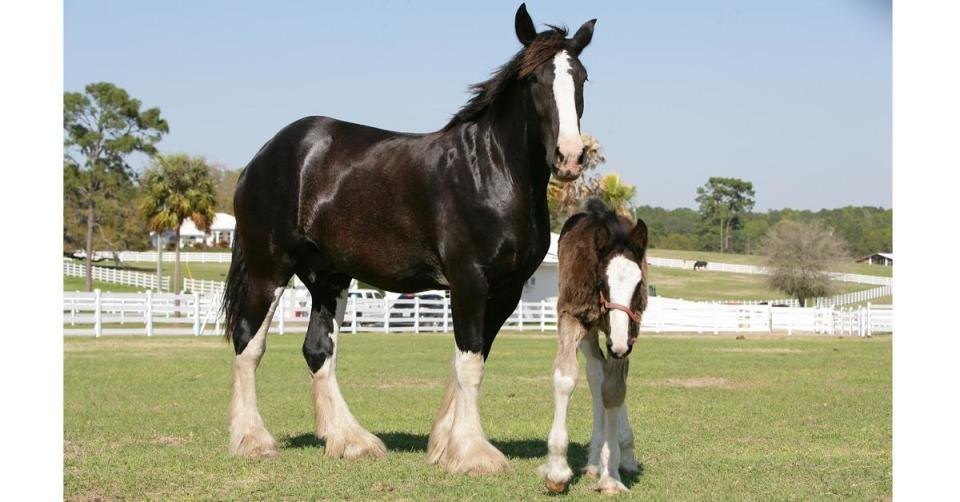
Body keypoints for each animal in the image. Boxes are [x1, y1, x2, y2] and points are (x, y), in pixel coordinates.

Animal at [224, 4, 596, 474]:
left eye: (581, 78)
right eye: (534, 80)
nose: (570, 157)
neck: (490, 172)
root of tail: (265, 155)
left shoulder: (507, 291)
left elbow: (470, 359)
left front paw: (445, 445)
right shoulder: (469, 281)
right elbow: (469, 364)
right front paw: (473, 454)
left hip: (328, 277)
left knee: (318, 350)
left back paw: (350, 440)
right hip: (268, 268)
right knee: (248, 343)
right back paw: (253, 439)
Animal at [536, 198, 648, 492]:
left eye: (639, 284)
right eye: (602, 282)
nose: (619, 344)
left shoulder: (627, 333)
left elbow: (614, 390)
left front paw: (611, 475)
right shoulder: (571, 316)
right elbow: (566, 379)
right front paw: (557, 471)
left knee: (605, 377)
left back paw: (618, 453)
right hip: (590, 333)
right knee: (595, 372)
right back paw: (596, 458)